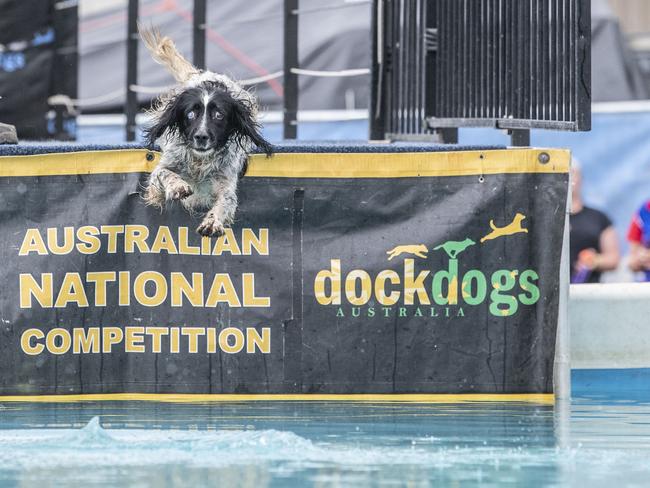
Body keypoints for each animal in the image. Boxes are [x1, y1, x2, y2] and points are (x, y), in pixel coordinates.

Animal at [139, 25, 270, 237]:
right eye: (191, 114)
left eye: (219, 115)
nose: (201, 136)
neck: (199, 163)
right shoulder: (158, 179)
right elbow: (164, 174)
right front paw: (178, 186)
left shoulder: (225, 183)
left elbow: (225, 201)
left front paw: (212, 221)